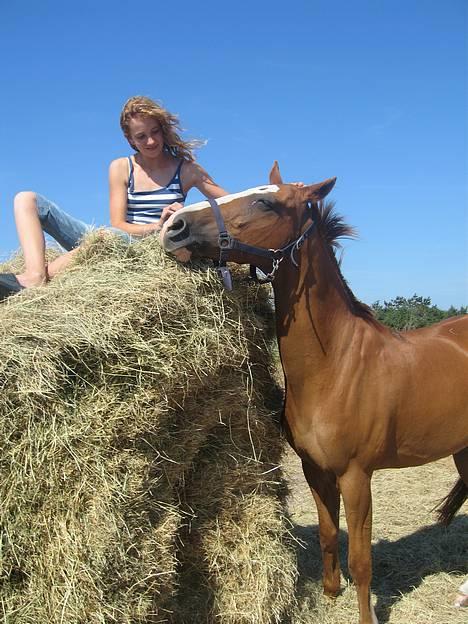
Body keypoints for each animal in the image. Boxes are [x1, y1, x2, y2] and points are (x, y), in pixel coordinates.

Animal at [162, 166, 468, 624]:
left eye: (265, 202)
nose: (174, 227)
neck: (337, 366)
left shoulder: (357, 476)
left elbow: (361, 558)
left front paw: (366, 615)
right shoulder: (315, 470)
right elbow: (326, 533)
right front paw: (330, 592)